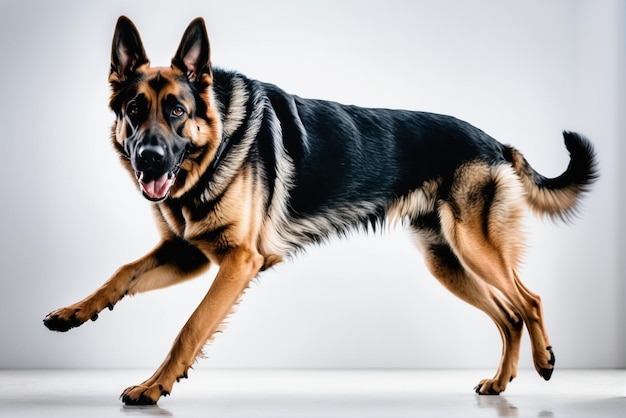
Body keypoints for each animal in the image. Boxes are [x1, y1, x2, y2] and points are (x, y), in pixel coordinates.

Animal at [42, 16, 596, 404]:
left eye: (176, 111)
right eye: (134, 110)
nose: (149, 159)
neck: (216, 143)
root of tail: (496, 143)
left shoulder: (238, 261)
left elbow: (190, 328)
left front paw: (153, 387)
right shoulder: (188, 253)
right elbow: (122, 273)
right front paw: (74, 313)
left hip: (474, 248)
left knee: (529, 302)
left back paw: (545, 362)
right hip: (447, 263)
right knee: (508, 316)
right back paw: (501, 382)